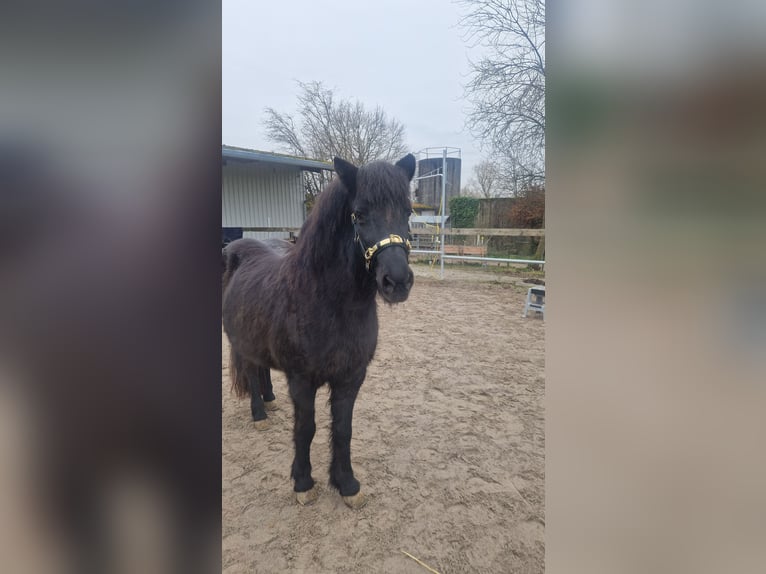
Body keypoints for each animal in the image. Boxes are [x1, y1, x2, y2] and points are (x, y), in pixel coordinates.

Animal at [222, 154, 416, 508]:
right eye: (359, 214)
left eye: (407, 212)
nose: (397, 282)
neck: (328, 305)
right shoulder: (302, 380)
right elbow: (306, 428)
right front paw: (303, 483)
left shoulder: (351, 378)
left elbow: (342, 429)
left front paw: (347, 484)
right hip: (241, 344)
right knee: (252, 374)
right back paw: (259, 414)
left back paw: (270, 400)